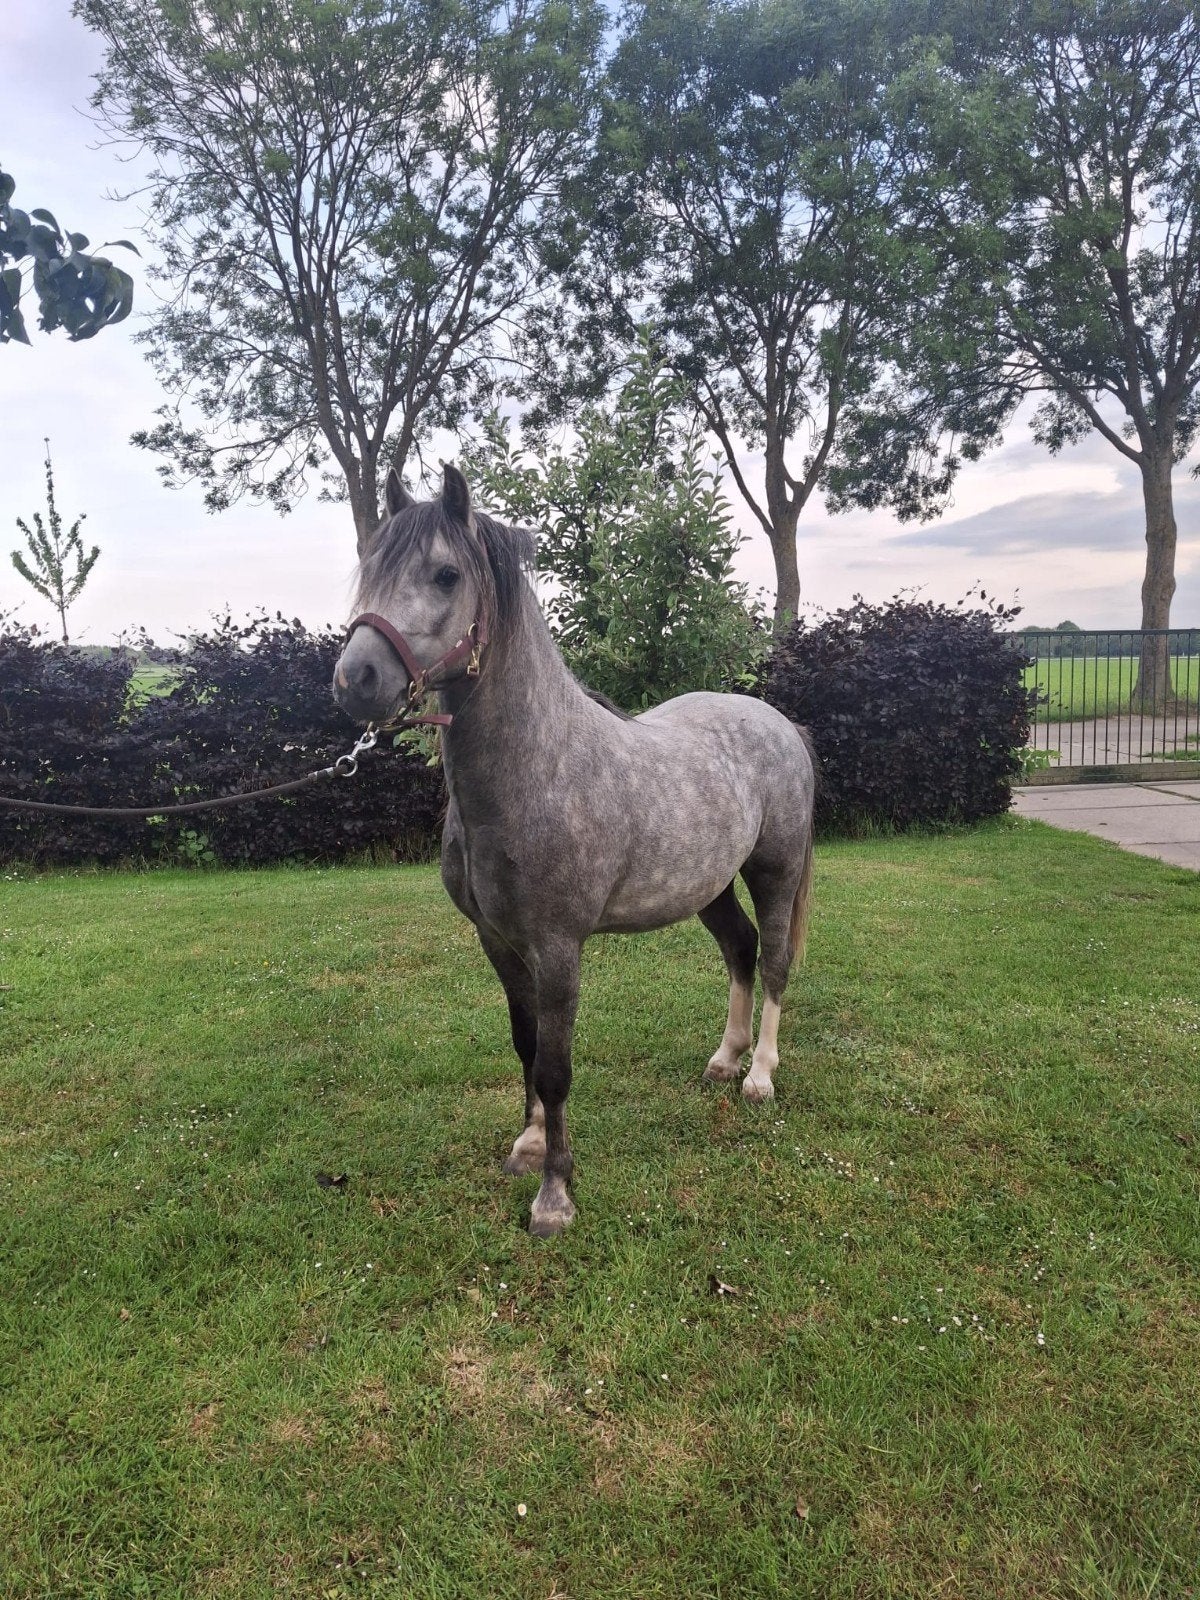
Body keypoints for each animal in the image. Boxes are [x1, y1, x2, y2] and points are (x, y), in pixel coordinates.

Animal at [332, 463, 816, 1236]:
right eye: (370, 567)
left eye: (445, 574)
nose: (357, 680)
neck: (538, 768)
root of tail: (779, 724)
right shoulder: (499, 942)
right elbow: (526, 1045)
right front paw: (529, 1145)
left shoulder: (559, 946)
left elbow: (557, 1065)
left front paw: (555, 1194)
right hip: (709, 886)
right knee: (739, 951)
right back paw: (723, 1060)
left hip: (773, 869)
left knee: (772, 960)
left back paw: (761, 1076)